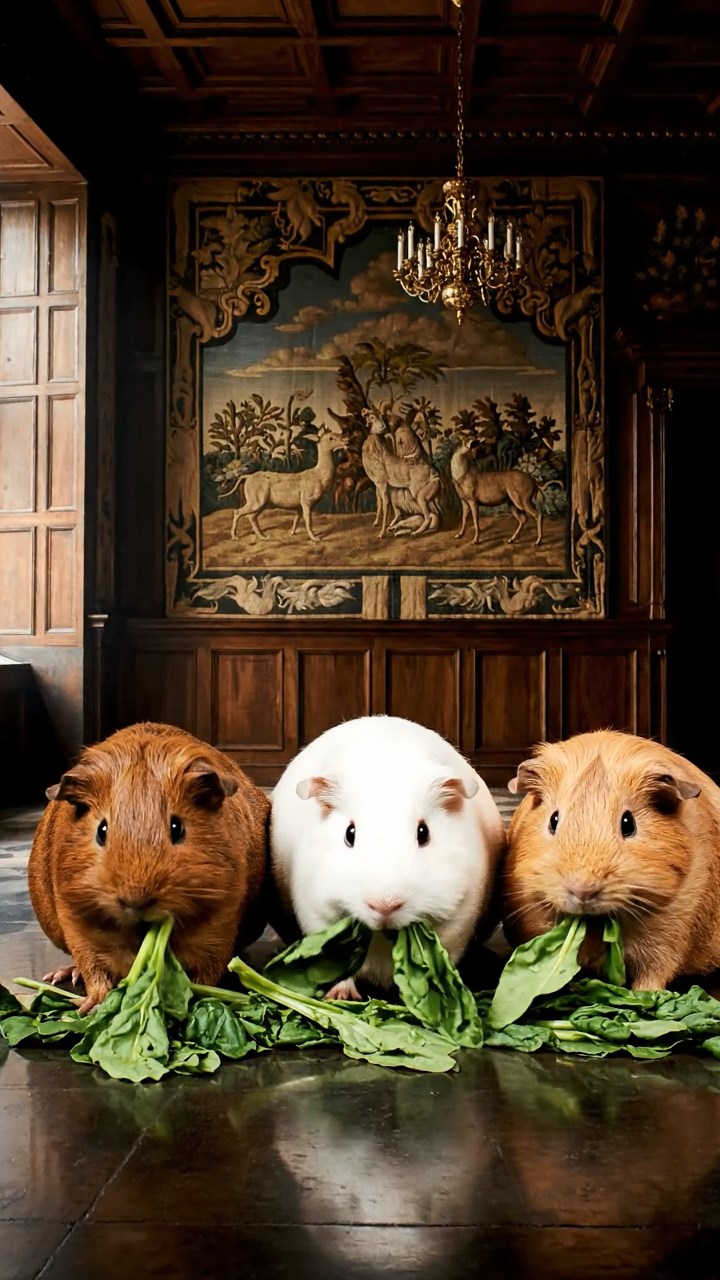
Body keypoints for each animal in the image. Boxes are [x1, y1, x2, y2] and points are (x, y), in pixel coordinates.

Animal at [28, 721, 270, 1012]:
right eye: (101, 830)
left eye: (177, 827)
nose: (136, 902)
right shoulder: (75, 917)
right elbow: (93, 966)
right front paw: (90, 1007)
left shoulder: (220, 921)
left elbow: (207, 969)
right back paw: (60, 976)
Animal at [269, 715, 506, 999]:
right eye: (349, 834)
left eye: (423, 833)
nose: (384, 905)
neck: (382, 939)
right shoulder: (318, 918)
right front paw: (340, 996)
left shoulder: (457, 922)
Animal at [501, 729, 720, 990]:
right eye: (553, 820)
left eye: (628, 823)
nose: (582, 890)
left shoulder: (669, 936)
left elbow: (653, 975)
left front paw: (644, 995)